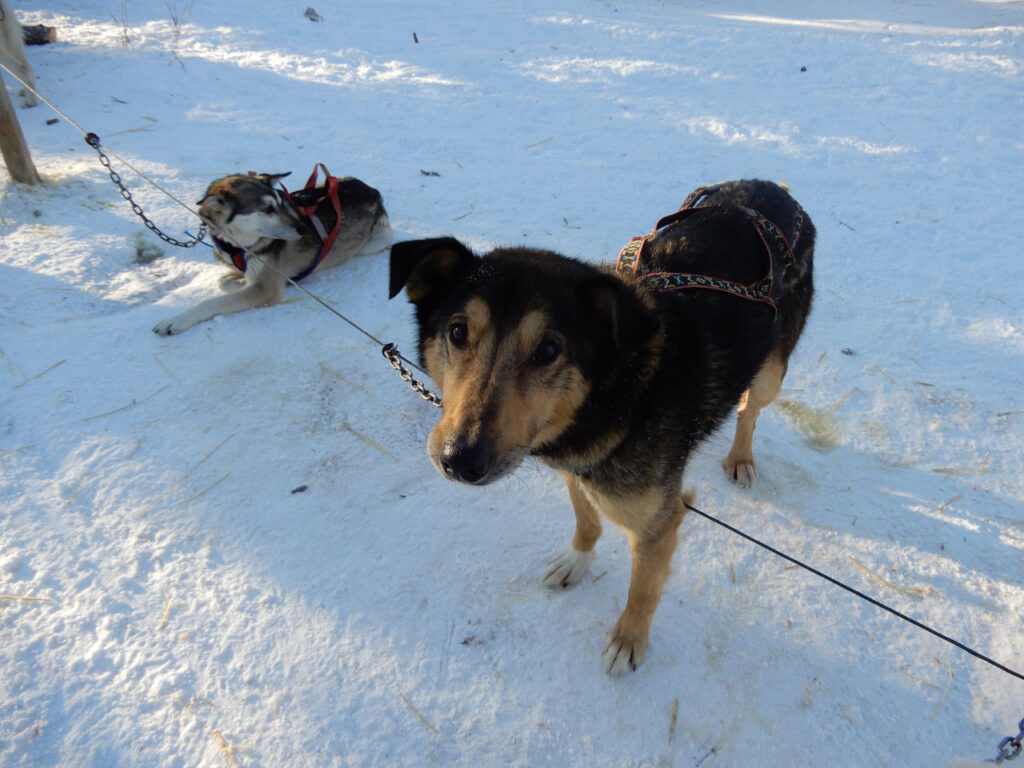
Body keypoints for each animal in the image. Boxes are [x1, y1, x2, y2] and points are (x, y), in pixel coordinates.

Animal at [391, 179, 815, 671]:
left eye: (548, 350)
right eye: (458, 332)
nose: (459, 460)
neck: (615, 398)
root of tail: (770, 189)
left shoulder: (658, 521)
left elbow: (643, 589)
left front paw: (629, 640)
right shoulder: (576, 468)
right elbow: (586, 519)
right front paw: (577, 560)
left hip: (770, 373)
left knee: (750, 409)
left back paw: (741, 458)